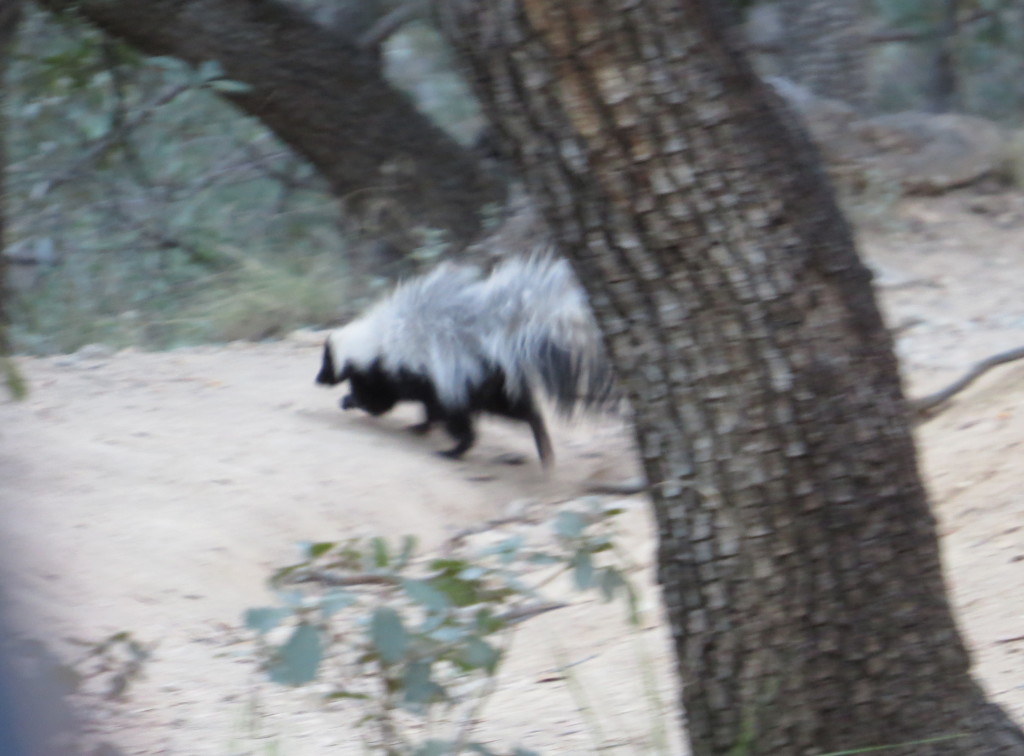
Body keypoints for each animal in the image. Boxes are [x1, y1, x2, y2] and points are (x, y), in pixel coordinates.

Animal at [315, 255, 610, 465]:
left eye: (326, 362)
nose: (318, 379)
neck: (371, 340)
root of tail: (486, 335)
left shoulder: (386, 370)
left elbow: (379, 403)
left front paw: (348, 401)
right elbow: (419, 409)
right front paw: (420, 426)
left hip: (465, 384)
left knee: (463, 426)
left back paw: (453, 452)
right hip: (490, 385)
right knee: (523, 410)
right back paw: (544, 445)